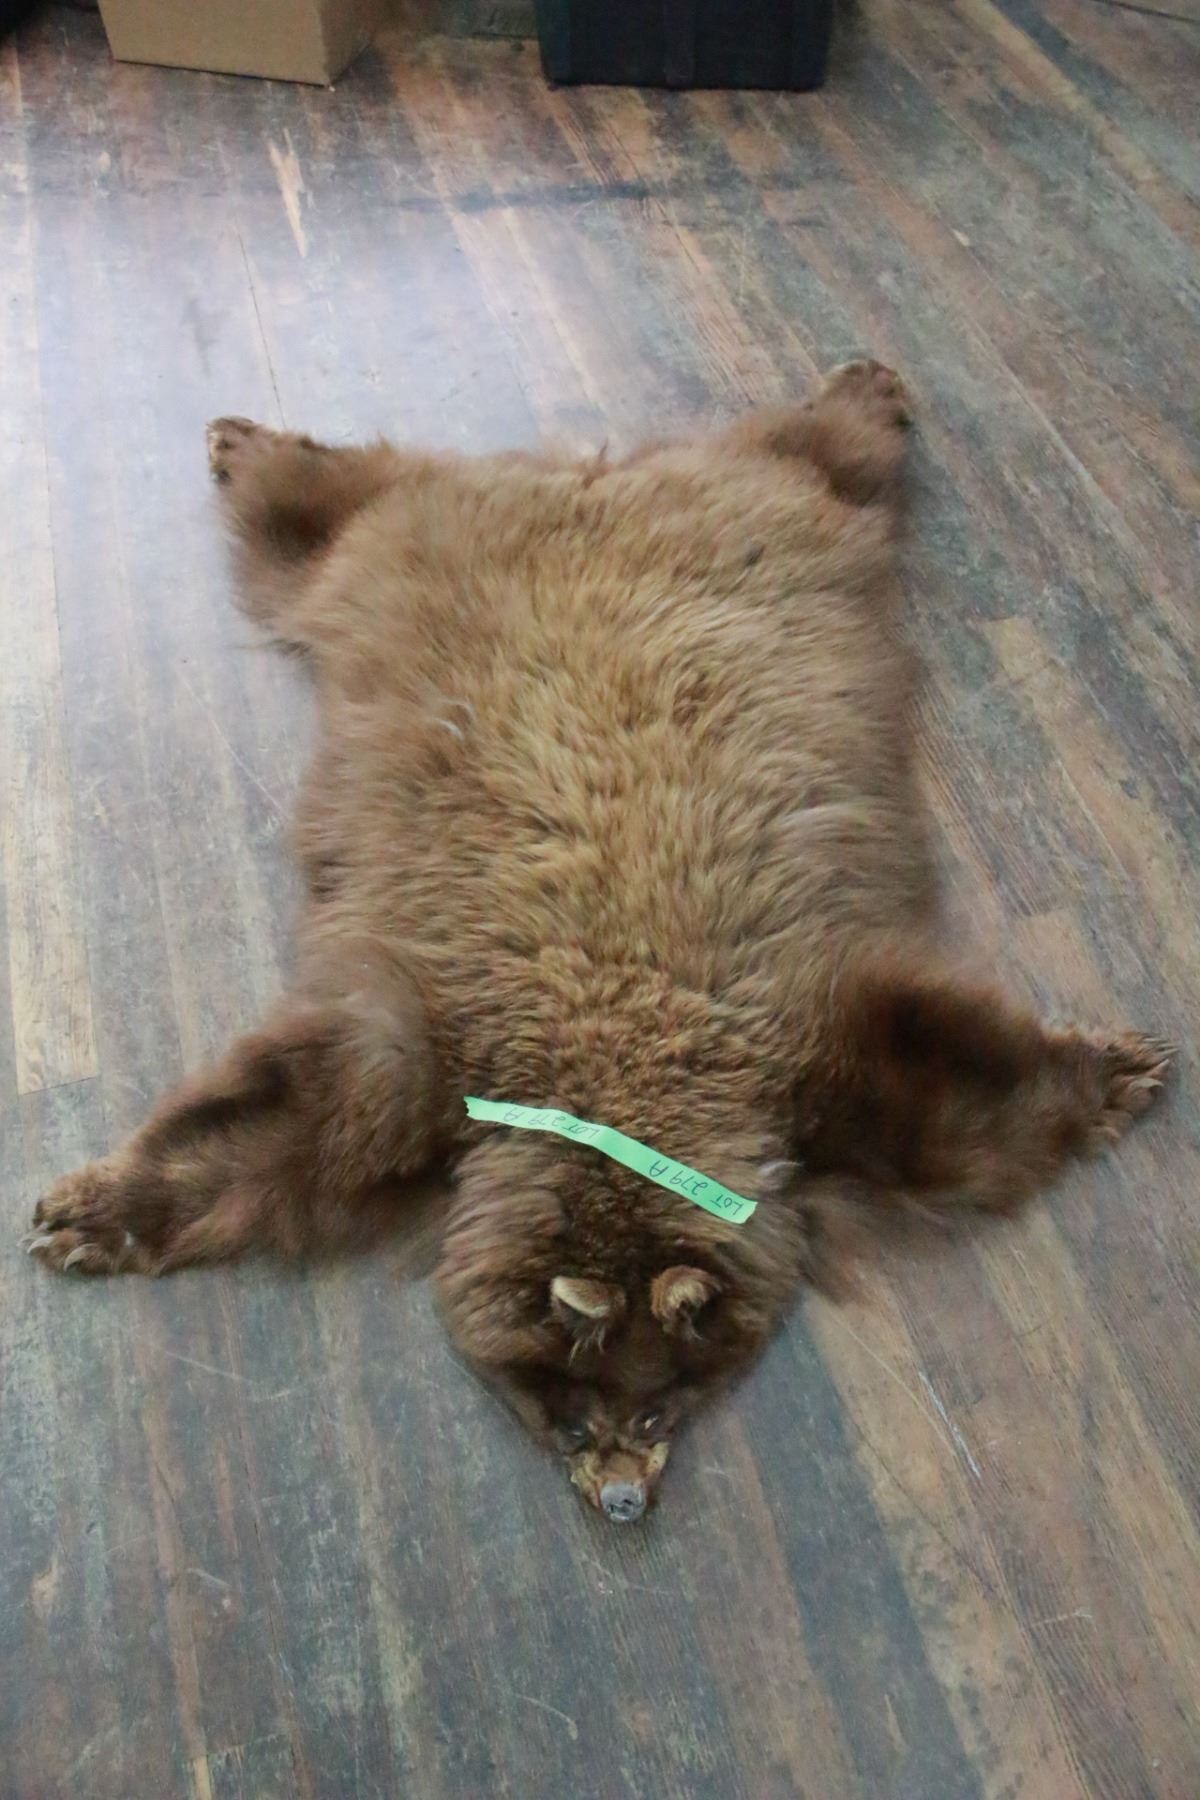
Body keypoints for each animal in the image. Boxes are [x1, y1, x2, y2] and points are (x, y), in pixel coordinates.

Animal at [27, 362, 1172, 1524]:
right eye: (571, 1415)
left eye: (661, 1410)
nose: (623, 1502)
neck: (620, 1078)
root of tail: (593, 474)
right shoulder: (437, 1041)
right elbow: (286, 1117)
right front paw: (97, 1208)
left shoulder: (797, 1045)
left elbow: (946, 1082)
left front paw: (1115, 1063)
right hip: (387, 543)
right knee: (313, 508)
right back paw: (239, 438)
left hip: (768, 505)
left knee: (824, 450)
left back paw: (865, 384)